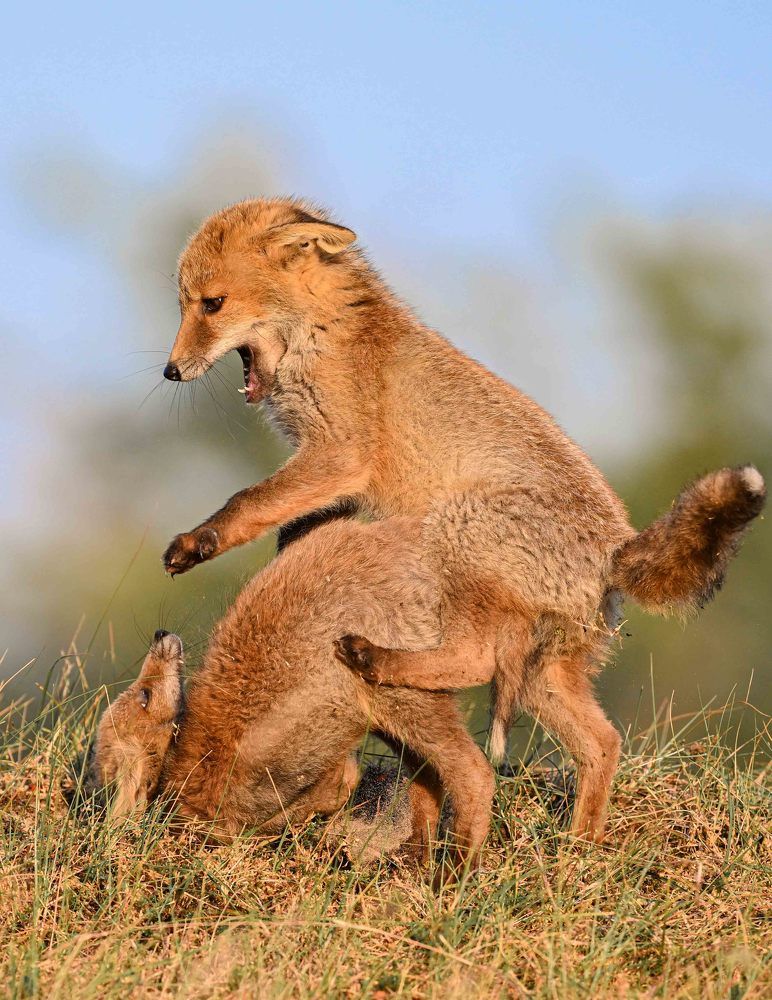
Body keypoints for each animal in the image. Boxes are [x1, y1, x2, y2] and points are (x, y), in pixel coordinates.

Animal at [86, 516, 495, 869]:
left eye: (143, 695)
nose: (160, 635)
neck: (181, 769)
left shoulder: (312, 783)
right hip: (390, 720)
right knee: (431, 777)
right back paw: (419, 857)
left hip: (396, 697)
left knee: (476, 772)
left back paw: (456, 872)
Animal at [161, 197, 765, 841]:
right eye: (184, 304)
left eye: (212, 304)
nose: (170, 371)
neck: (326, 337)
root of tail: (616, 551)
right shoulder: (330, 480)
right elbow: (290, 531)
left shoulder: (339, 454)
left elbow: (246, 503)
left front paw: (197, 543)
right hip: (544, 676)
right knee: (602, 742)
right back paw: (579, 847)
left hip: (458, 533)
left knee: (474, 662)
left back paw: (376, 659)